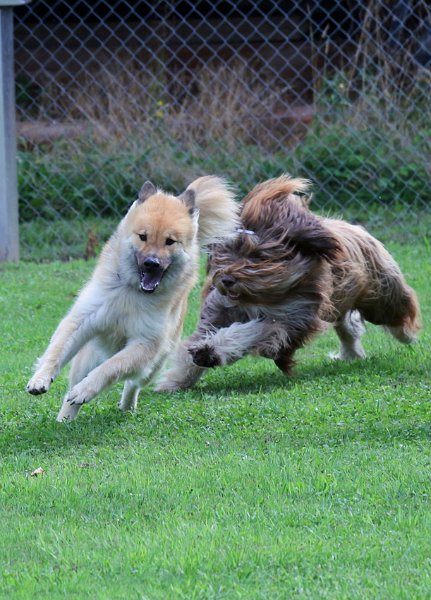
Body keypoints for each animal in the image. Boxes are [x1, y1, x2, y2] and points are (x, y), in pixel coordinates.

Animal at [26, 176, 240, 420]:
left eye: (170, 241)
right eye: (143, 237)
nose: (151, 263)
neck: (132, 292)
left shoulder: (145, 344)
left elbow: (111, 368)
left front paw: (86, 390)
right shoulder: (83, 319)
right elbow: (57, 350)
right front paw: (40, 378)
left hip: (152, 366)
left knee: (132, 384)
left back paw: (126, 407)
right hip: (86, 358)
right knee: (73, 387)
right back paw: (65, 418)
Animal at [156, 173, 422, 392]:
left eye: (257, 256)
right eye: (226, 252)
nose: (227, 280)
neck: (260, 296)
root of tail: (354, 227)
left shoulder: (291, 319)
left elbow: (252, 332)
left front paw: (210, 352)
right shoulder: (219, 310)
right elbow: (196, 344)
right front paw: (176, 381)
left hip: (382, 294)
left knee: (398, 312)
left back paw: (407, 336)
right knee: (348, 326)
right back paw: (350, 354)